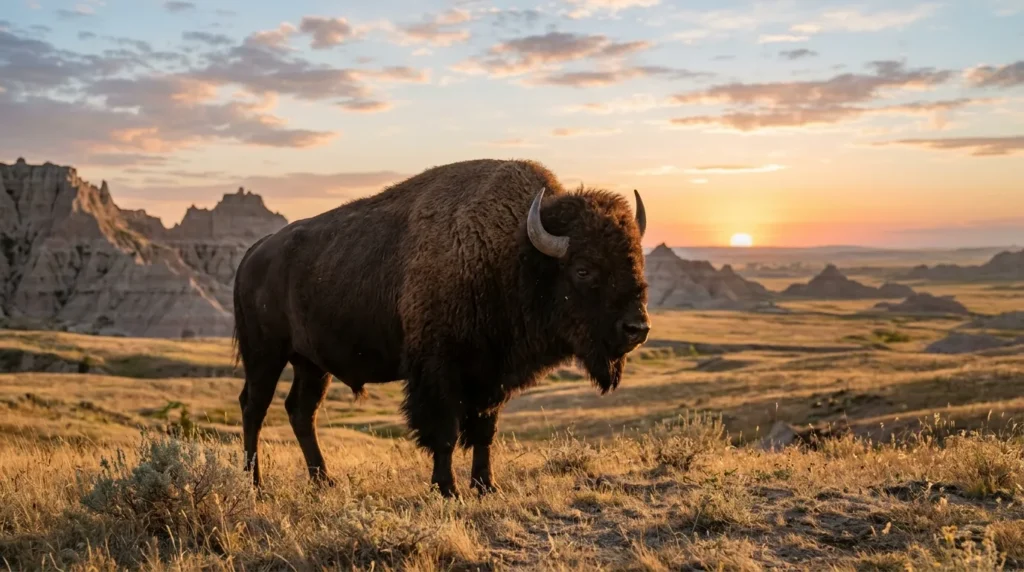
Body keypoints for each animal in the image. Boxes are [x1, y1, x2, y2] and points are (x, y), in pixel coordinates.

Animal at [232, 158, 650, 497]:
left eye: (636, 261)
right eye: (584, 270)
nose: (637, 328)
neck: (512, 254)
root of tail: (253, 254)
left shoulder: (491, 376)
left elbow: (484, 431)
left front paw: (486, 486)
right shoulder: (438, 371)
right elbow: (444, 433)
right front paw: (447, 489)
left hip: (311, 364)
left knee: (301, 411)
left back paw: (323, 481)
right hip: (265, 355)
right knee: (254, 407)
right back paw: (255, 484)